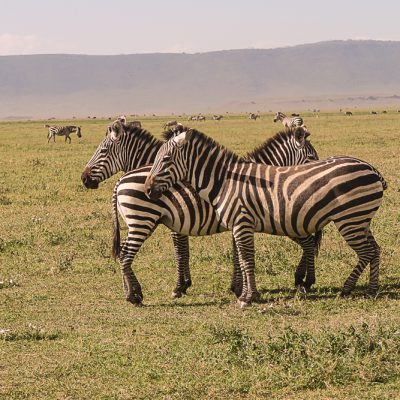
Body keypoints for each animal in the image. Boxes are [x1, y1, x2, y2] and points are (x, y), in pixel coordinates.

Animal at [81, 120, 318, 304]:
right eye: (312, 156)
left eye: (103, 151)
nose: (84, 179)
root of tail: (119, 182)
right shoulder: (187, 222)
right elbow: (185, 252)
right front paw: (186, 286)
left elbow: (191, 252)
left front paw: (190, 286)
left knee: (310, 242)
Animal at [145, 128, 388, 306]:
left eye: (165, 159)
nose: (147, 190)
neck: (224, 181)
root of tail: (372, 169)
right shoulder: (237, 225)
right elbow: (242, 259)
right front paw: (244, 292)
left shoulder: (241, 222)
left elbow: (246, 259)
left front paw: (247, 297)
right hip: (361, 219)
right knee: (375, 249)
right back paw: (371, 289)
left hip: (350, 219)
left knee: (366, 252)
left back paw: (348, 288)